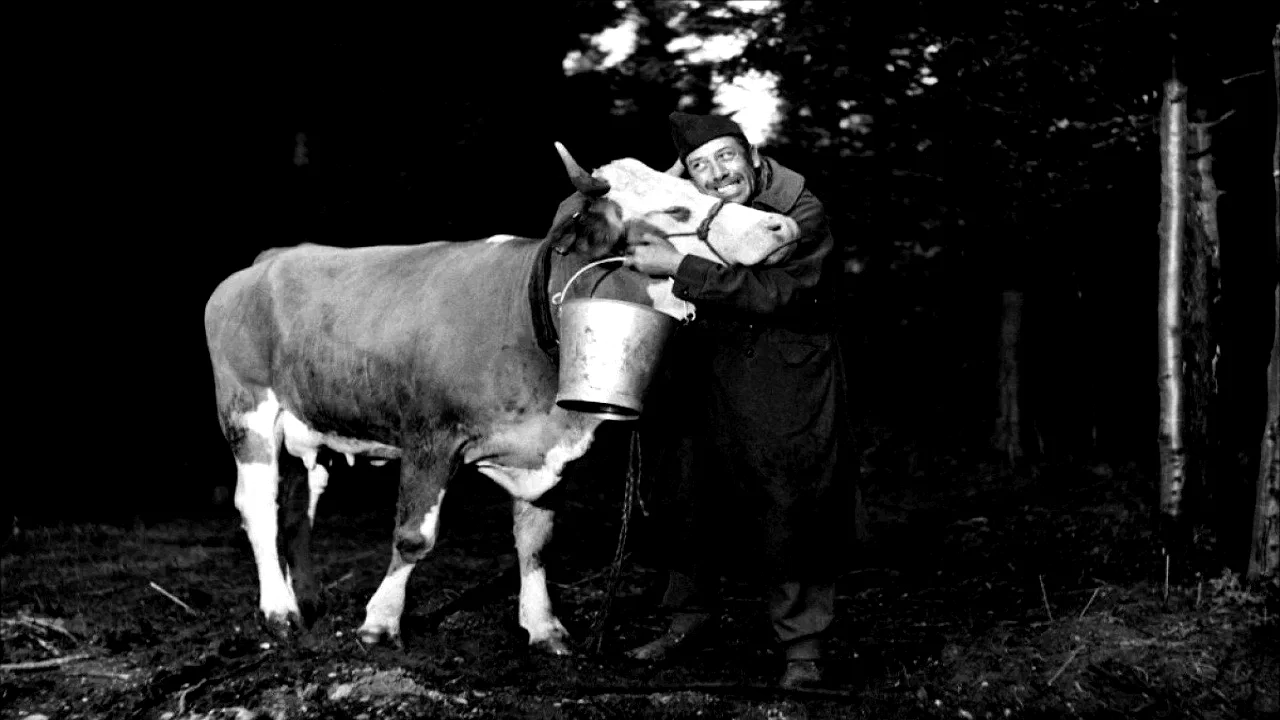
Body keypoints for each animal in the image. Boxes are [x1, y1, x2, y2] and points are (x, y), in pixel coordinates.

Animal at [203, 143, 799, 655]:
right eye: (677, 207)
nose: (782, 226)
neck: (528, 318)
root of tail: (270, 260)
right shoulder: (430, 437)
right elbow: (414, 537)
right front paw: (380, 623)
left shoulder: (548, 452)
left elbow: (536, 540)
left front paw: (543, 627)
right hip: (248, 412)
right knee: (258, 507)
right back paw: (279, 612)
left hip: (314, 428)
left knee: (296, 511)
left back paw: (306, 600)